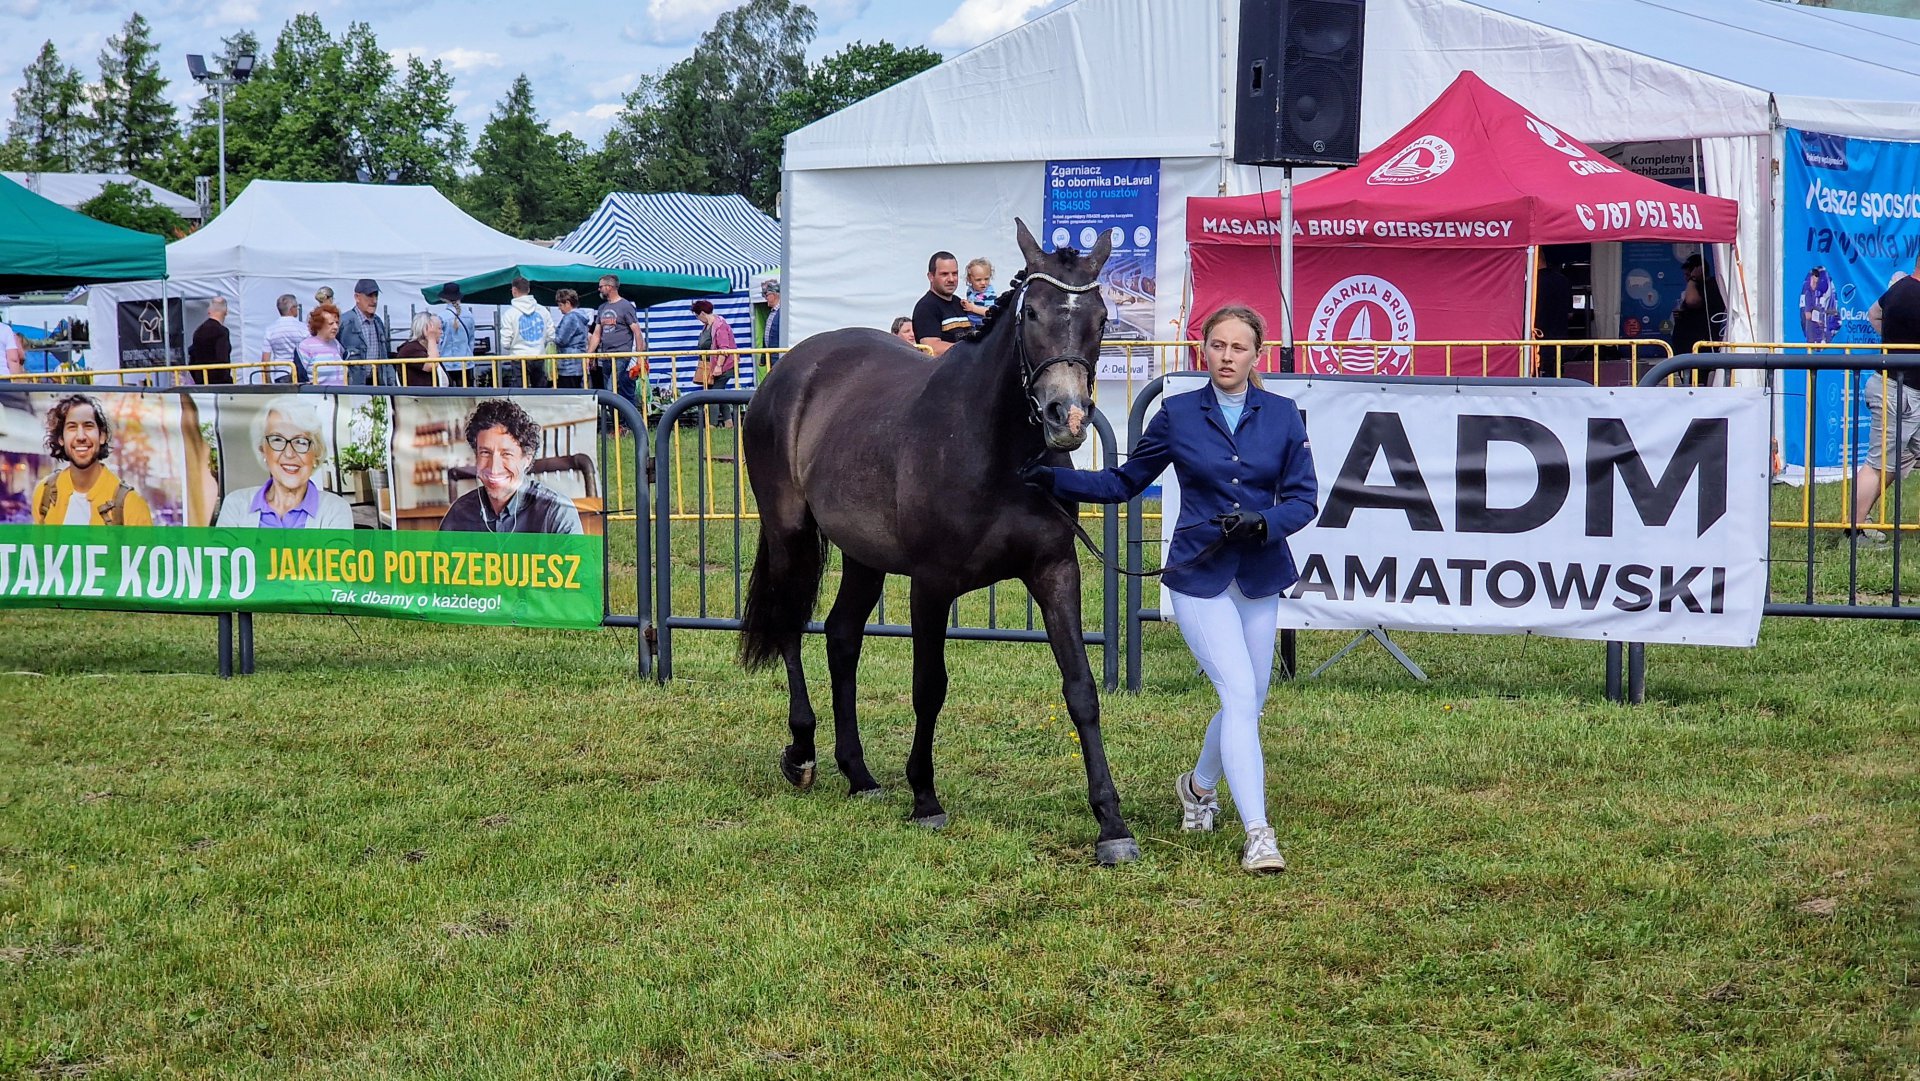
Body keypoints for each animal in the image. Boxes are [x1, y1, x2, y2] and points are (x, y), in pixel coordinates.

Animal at [738, 219, 1140, 865]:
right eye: (1032, 313)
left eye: (1101, 318)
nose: (1067, 417)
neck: (996, 447)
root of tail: (790, 368)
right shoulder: (931, 584)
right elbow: (929, 687)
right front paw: (925, 798)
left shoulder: (1055, 571)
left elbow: (1080, 688)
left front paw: (1111, 821)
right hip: (790, 534)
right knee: (788, 624)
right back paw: (802, 753)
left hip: (863, 556)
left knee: (841, 637)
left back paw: (859, 774)